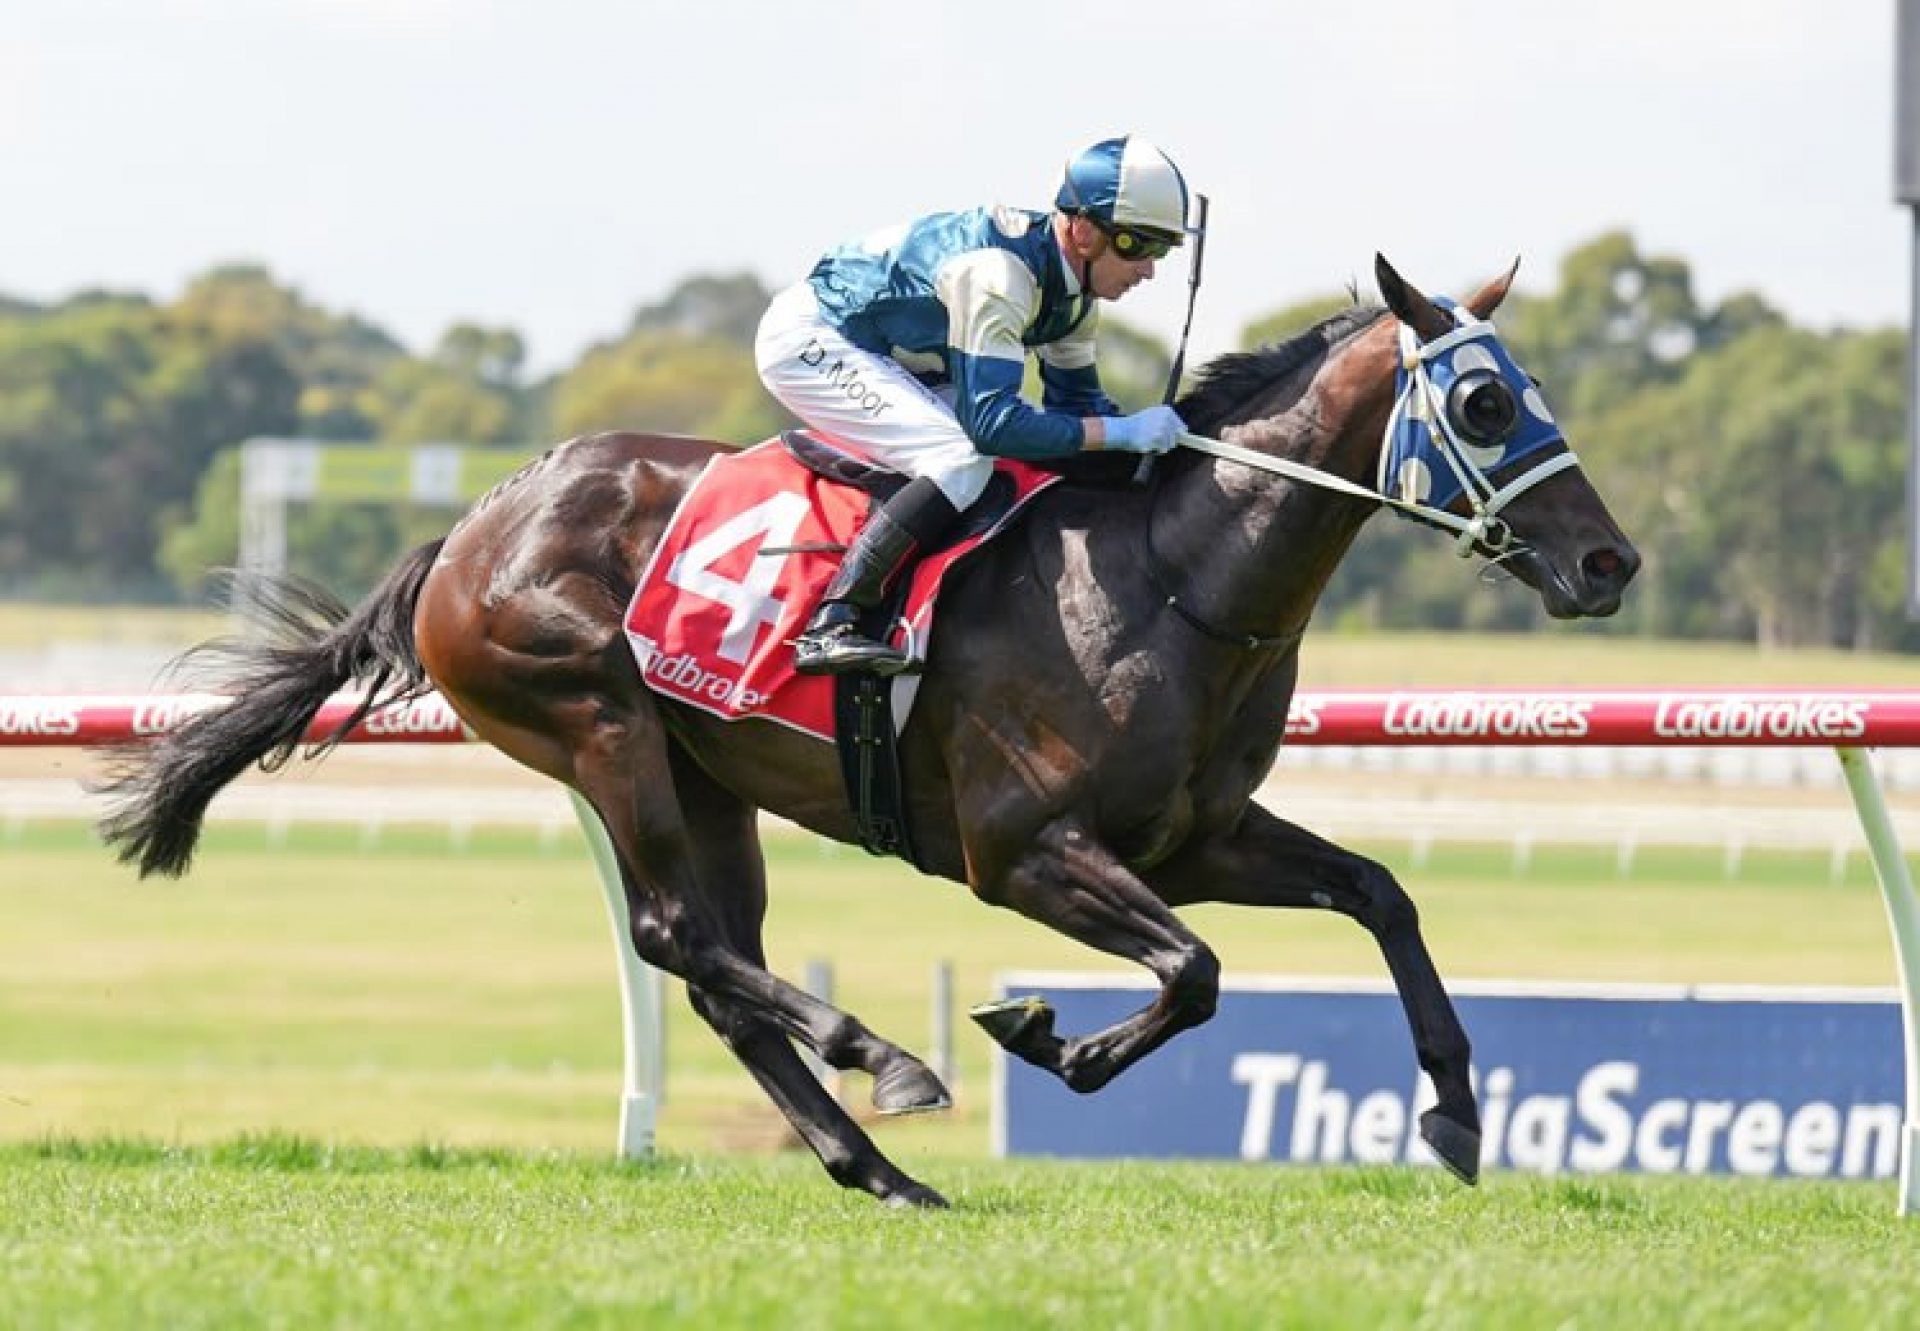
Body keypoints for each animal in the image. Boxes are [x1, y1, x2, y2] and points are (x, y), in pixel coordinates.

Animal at [101, 257, 1635, 1206]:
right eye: (1486, 400)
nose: (1609, 561)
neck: (1172, 578)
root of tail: (473, 525)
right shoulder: (1022, 849)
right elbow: (1195, 972)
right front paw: (1049, 1037)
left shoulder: (1194, 836)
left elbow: (1376, 894)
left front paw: (1456, 1114)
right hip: (597, 721)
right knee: (679, 936)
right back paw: (884, 1058)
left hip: (704, 773)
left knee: (720, 971)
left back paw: (878, 1164)